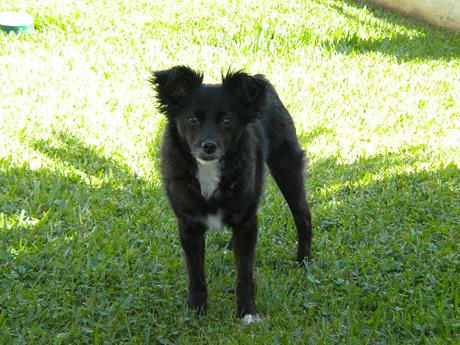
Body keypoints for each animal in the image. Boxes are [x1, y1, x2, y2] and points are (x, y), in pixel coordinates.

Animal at [149, 66, 310, 322]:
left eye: (227, 120)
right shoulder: (189, 225)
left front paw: (247, 313)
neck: (209, 170)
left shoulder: (246, 220)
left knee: (303, 215)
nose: (209, 146)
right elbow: (196, 275)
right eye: (192, 119)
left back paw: (304, 260)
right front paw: (197, 311)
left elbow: (244, 273)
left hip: (286, 164)